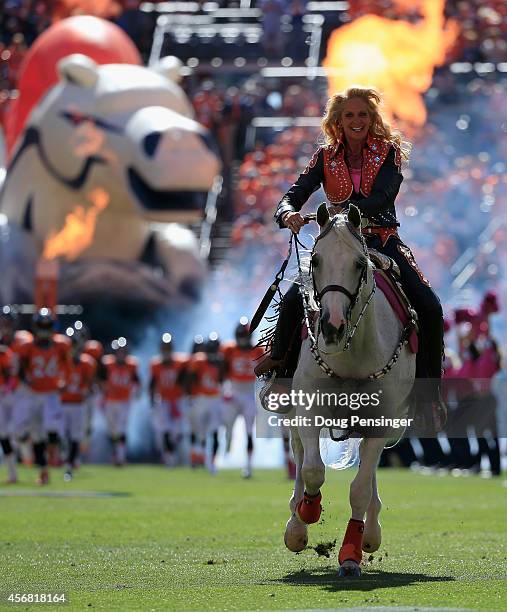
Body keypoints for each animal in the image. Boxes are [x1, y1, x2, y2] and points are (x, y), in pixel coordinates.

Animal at [284, 204, 414, 580]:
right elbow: (312, 469)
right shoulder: (308, 408)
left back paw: (370, 533)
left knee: (369, 475)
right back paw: (296, 525)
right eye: (315, 260)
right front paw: (308, 512)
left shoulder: (382, 420)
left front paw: (351, 554)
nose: (331, 327)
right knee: (300, 456)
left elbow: (359, 489)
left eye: (359, 263)